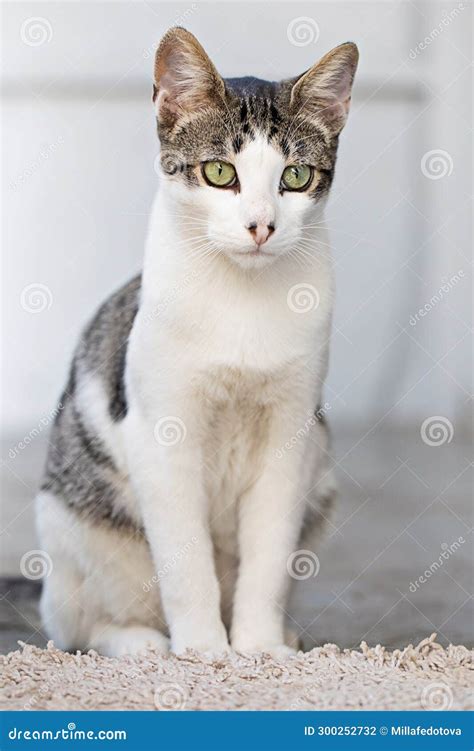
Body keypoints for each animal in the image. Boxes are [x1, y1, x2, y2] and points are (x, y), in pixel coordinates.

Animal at [35, 26, 358, 656]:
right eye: (219, 173)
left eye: (295, 177)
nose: (261, 225)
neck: (241, 301)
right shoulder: (163, 435)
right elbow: (187, 565)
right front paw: (205, 652)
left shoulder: (292, 435)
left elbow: (267, 558)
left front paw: (257, 649)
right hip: (75, 527)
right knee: (79, 624)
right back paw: (142, 643)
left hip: (322, 481)